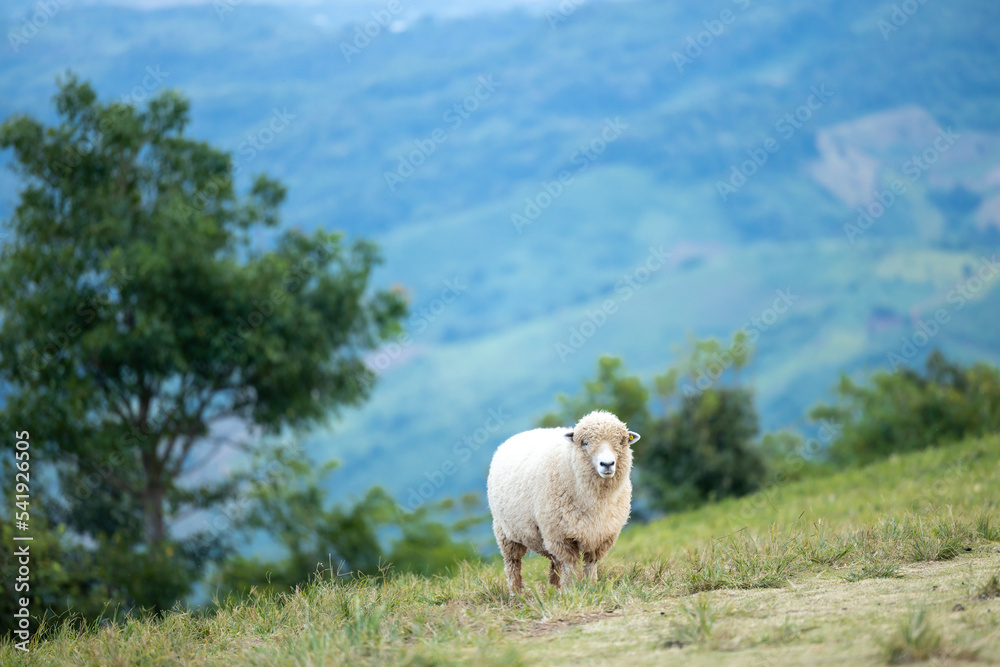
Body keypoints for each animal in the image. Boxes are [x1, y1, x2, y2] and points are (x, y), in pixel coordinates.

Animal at [487, 410, 640, 592]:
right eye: (585, 443)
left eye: (621, 442)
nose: (607, 464)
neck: (596, 501)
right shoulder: (561, 536)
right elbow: (570, 566)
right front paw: (570, 591)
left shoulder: (601, 534)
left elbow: (590, 564)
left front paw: (590, 587)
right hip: (505, 531)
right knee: (513, 563)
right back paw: (516, 593)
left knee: (554, 562)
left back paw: (554, 588)